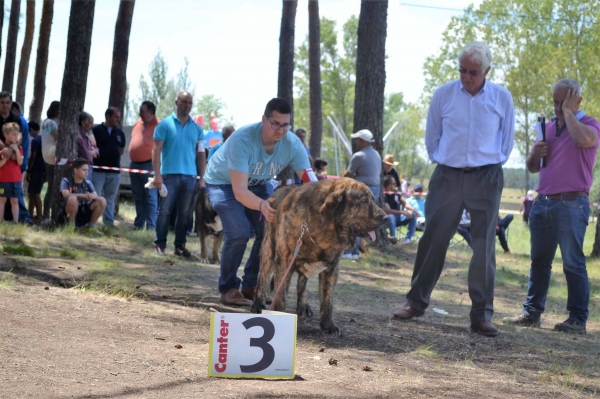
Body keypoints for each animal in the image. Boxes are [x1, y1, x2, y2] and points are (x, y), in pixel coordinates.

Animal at [250, 178, 386, 334]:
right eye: (363, 201)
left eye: (372, 200)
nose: (386, 218)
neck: (324, 225)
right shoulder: (284, 262)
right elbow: (280, 295)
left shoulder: (332, 268)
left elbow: (328, 300)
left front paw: (328, 325)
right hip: (269, 249)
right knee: (263, 277)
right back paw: (258, 304)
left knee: (302, 283)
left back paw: (303, 305)